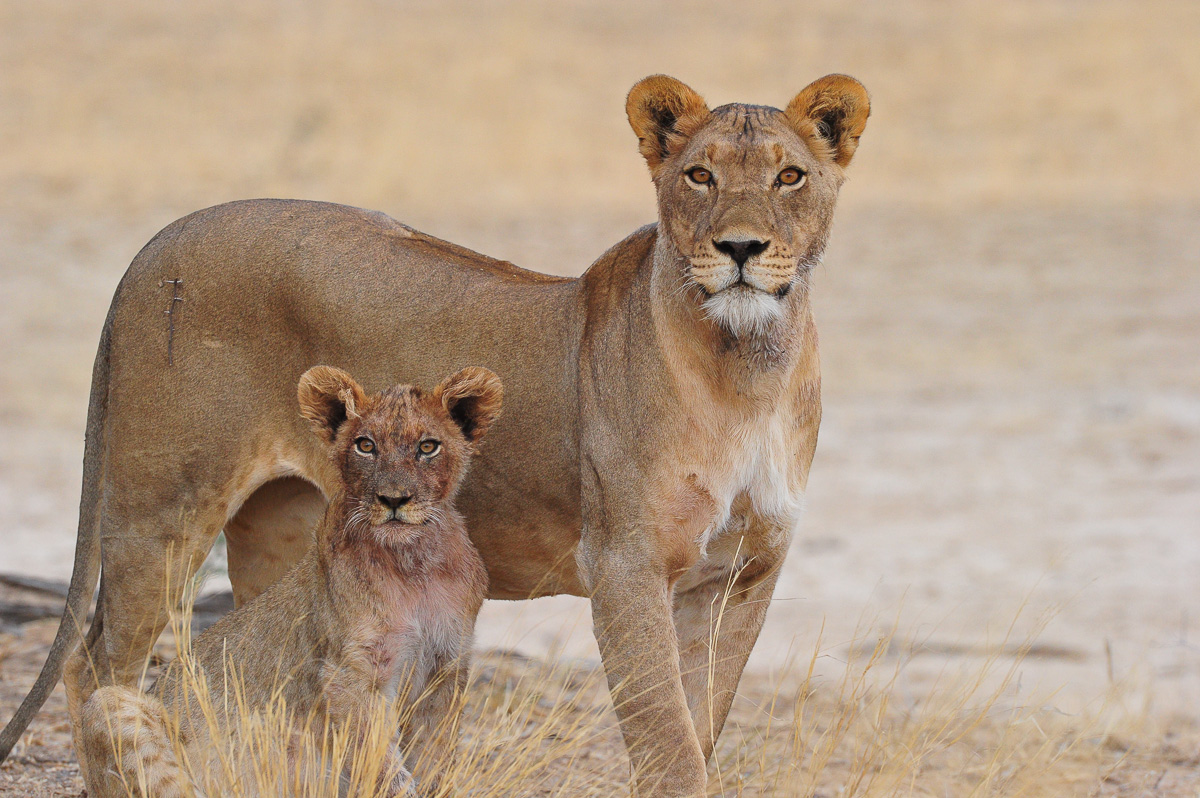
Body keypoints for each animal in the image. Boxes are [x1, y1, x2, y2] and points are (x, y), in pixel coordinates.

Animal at [78, 365, 499, 798]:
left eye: (427, 446)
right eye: (365, 446)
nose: (394, 499)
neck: (413, 564)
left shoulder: (446, 666)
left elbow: (434, 757)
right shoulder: (348, 675)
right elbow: (384, 765)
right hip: (109, 703)